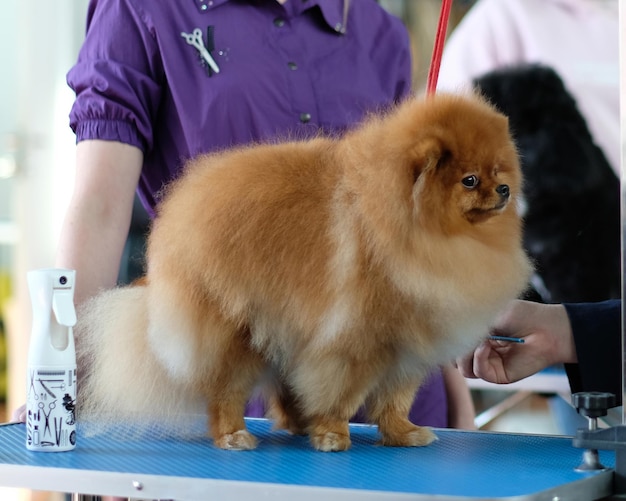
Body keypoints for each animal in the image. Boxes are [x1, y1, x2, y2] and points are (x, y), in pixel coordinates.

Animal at [75, 92, 528, 452]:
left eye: (499, 171)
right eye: (470, 180)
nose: (504, 190)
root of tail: (181, 210)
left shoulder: (406, 346)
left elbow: (394, 399)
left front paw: (404, 433)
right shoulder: (356, 342)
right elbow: (343, 394)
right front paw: (332, 435)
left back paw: (295, 423)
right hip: (237, 331)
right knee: (225, 392)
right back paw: (234, 435)